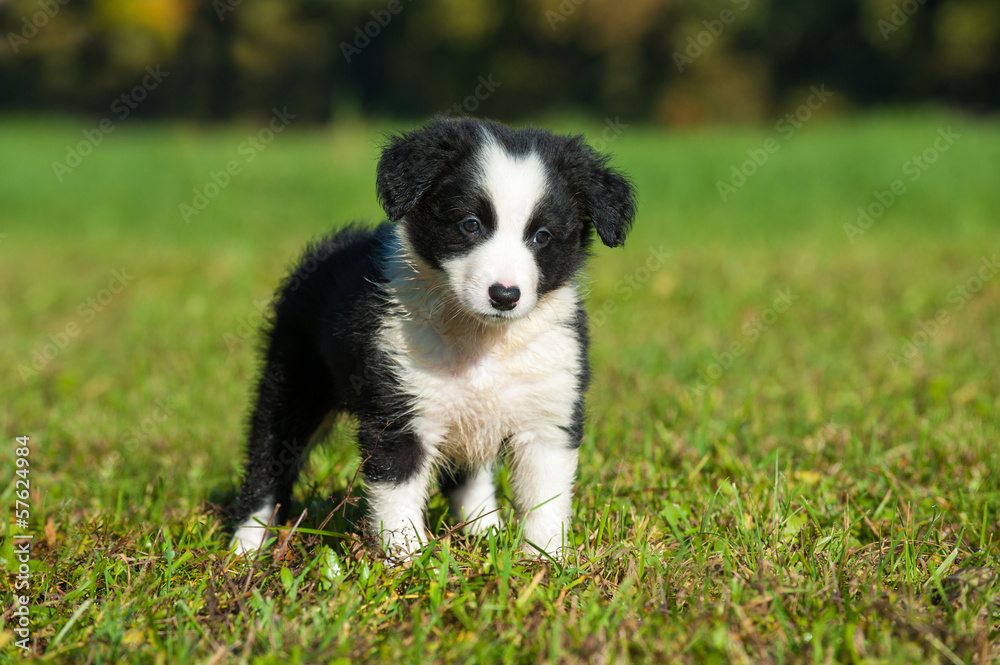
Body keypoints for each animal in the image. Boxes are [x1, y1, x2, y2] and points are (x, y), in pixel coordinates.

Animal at [229, 116, 632, 556]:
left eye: (542, 236)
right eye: (470, 225)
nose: (504, 295)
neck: (481, 339)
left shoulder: (548, 411)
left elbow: (546, 497)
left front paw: (545, 559)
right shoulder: (399, 409)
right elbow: (397, 493)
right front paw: (409, 561)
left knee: (469, 477)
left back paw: (483, 529)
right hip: (294, 378)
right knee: (269, 456)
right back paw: (246, 546)